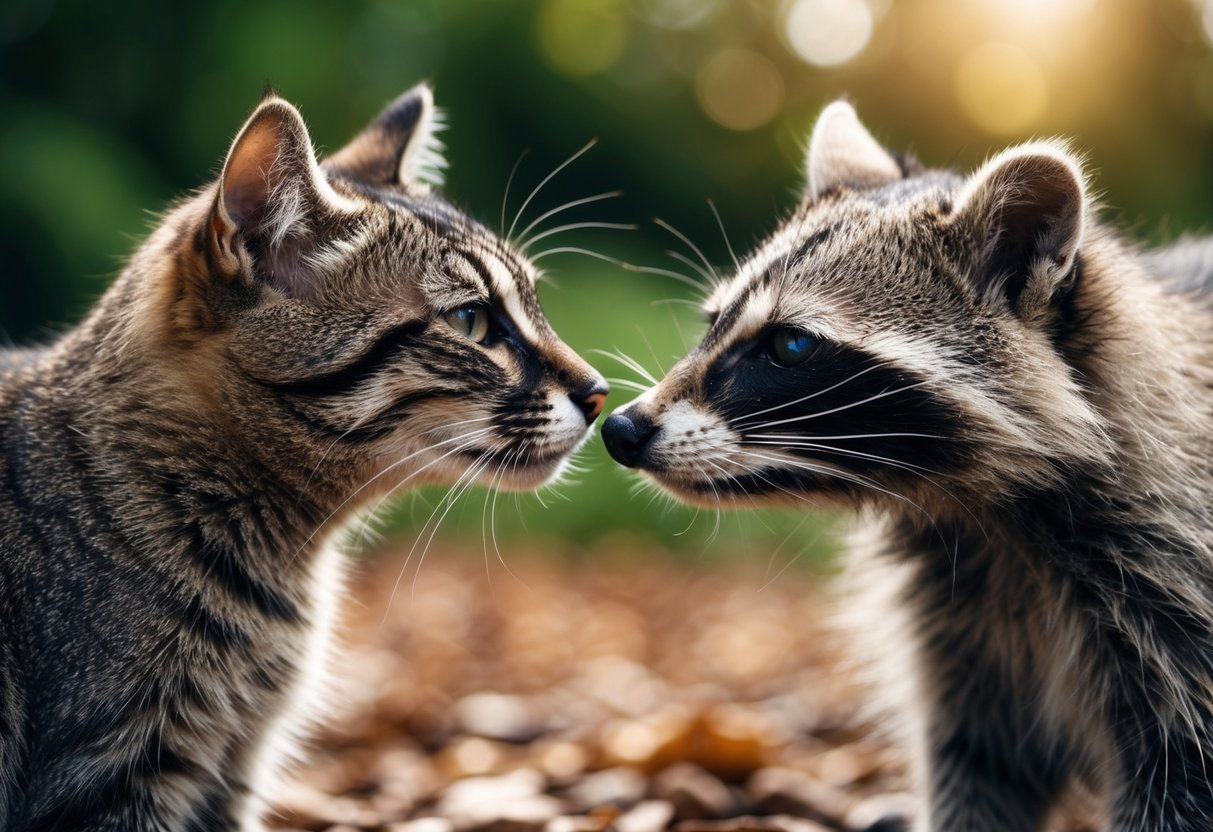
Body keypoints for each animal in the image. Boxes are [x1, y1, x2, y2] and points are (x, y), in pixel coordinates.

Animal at [602, 101, 1213, 830]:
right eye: (713, 322)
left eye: (789, 344)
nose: (620, 428)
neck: (984, 517)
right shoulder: (961, 638)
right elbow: (975, 769)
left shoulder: (1173, 610)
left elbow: (1178, 786)